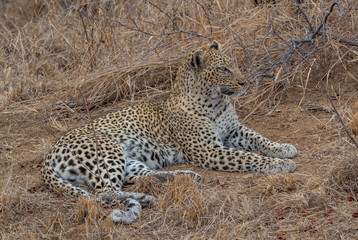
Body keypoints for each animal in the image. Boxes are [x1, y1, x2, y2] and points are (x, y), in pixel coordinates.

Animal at [41, 40, 296, 223]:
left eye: (234, 64)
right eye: (224, 69)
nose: (244, 82)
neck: (215, 101)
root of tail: (50, 153)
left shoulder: (234, 130)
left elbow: (258, 138)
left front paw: (283, 148)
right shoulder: (209, 151)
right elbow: (248, 157)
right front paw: (279, 164)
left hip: (128, 159)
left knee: (139, 178)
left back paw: (182, 178)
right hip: (108, 151)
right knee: (104, 193)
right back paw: (146, 196)